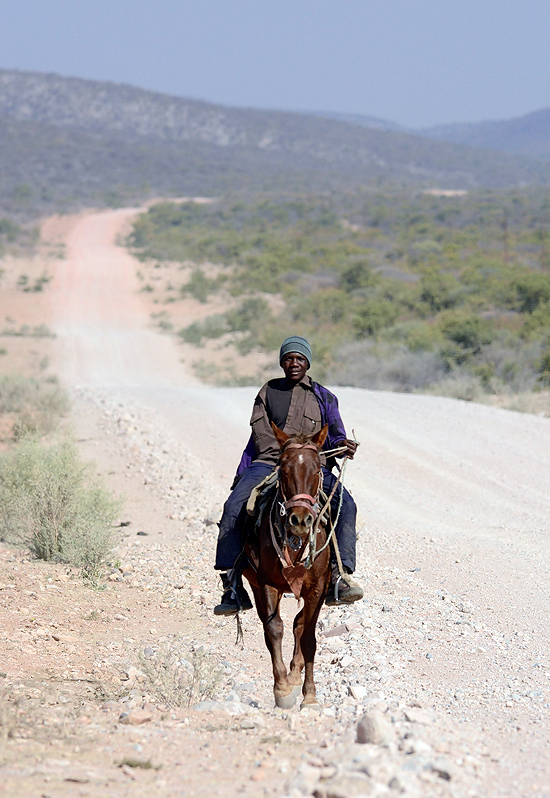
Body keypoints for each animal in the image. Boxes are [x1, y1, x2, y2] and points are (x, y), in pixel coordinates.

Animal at [242, 422, 331, 709]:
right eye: (283, 469)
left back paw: (295, 673)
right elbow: (274, 629)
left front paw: (310, 695)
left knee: (300, 624)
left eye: (317, 470)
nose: (300, 520)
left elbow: (309, 637)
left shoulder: (318, 588)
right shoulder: (267, 583)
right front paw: (282, 690)